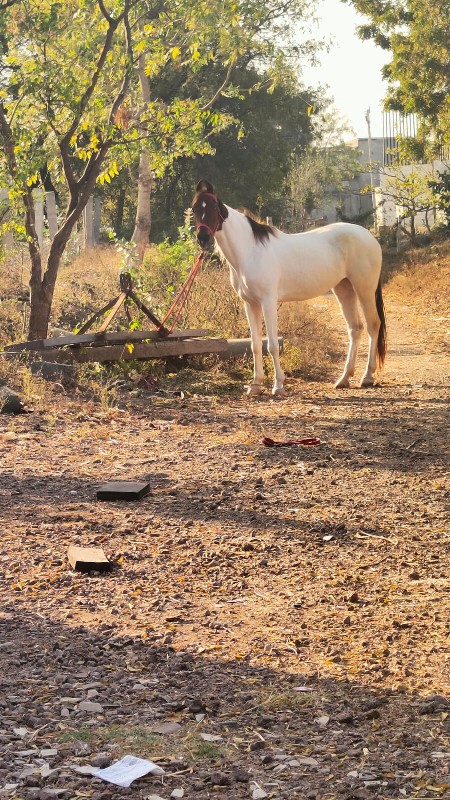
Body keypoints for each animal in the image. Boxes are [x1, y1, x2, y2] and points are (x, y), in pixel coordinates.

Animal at [191, 179, 386, 396]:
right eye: (195, 209)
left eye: (215, 208)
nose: (203, 238)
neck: (250, 251)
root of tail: (369, 236)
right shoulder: (250, 304)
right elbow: (255, 345)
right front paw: (255, 385)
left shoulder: (268, 301)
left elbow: (272, 345)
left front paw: (278, 386)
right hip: (344, 289)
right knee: (355, 328)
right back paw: (343, 379)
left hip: (364, 289)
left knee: (373, 325)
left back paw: (367, 377)